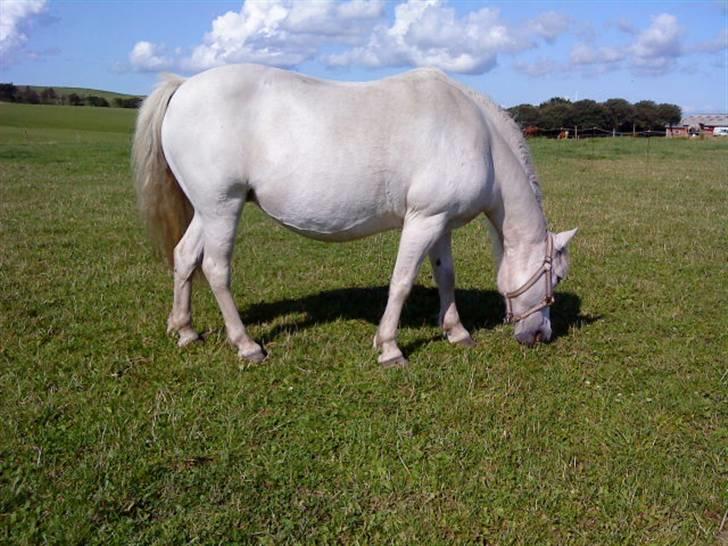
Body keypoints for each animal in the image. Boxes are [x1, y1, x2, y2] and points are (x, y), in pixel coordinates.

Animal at [129, 66, 576, 368]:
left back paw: (185, 330)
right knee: (216, 269)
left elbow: (445, 275)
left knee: (185, 257)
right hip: (223, 207)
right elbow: (402, 281)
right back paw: (246, 344)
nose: (540, 335)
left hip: (208, 209)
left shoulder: (440, 223)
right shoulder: (423, 220)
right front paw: (390, 347)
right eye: (555, 277)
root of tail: (184, 85)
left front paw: (456, 331)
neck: (478, 136)